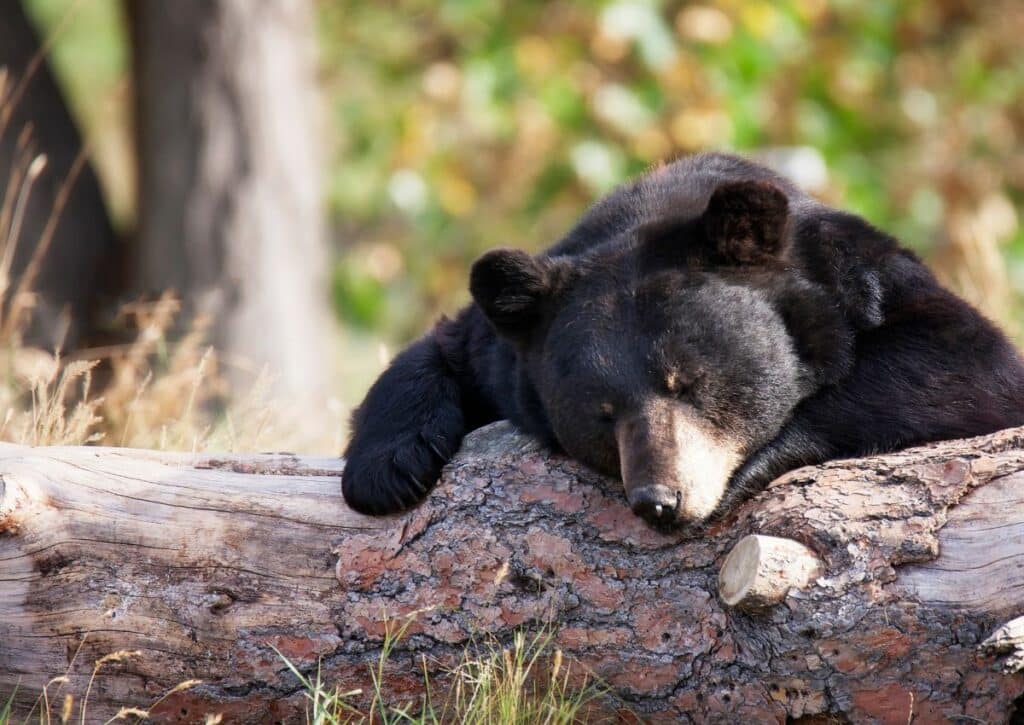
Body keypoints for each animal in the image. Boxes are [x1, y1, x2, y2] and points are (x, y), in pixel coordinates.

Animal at [337, 154, 1024, 528]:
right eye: (602, 411)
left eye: (689, 383)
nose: (659, 500)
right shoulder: (508, 346)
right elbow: (439, 349)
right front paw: (387, 471)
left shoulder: (862, 277)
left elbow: (966, 365)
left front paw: (758, 458)